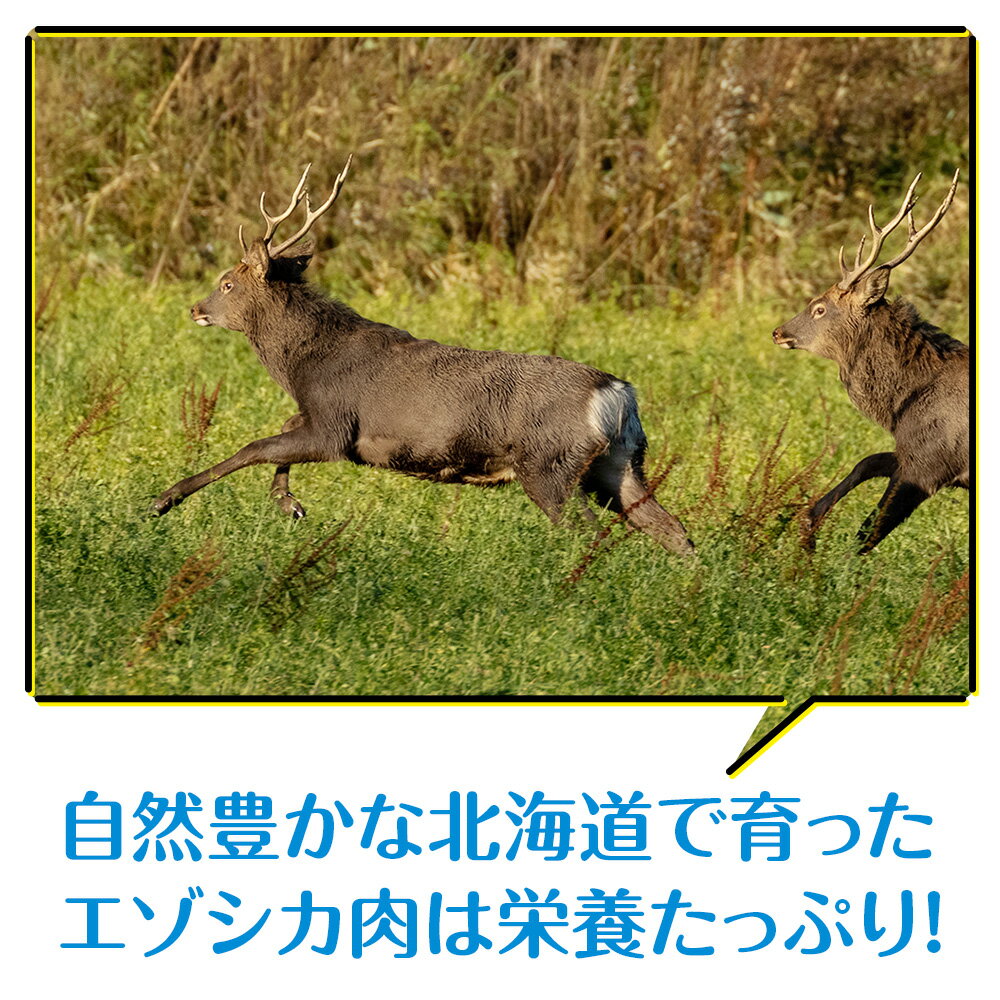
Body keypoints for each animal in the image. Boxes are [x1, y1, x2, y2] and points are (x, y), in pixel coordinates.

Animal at [151, 158, 695, 557]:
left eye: (227, 282)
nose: (195, 308)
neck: (303, 364)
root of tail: (617, 393)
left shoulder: (335, 426)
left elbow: (256, 446)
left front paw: (164, 499)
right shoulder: (320, 418)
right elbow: (278, 432)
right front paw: (289, 504)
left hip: (548, 464)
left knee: (591, 532)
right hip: (619, 463)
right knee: (673, 530)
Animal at [772, 170, 968, 553]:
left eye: (819, 308)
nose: (778, 332)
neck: (899, 407)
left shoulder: (931, 463)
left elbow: (868, 532)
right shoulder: (914, 453)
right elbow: (867, 461)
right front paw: (808, 524)